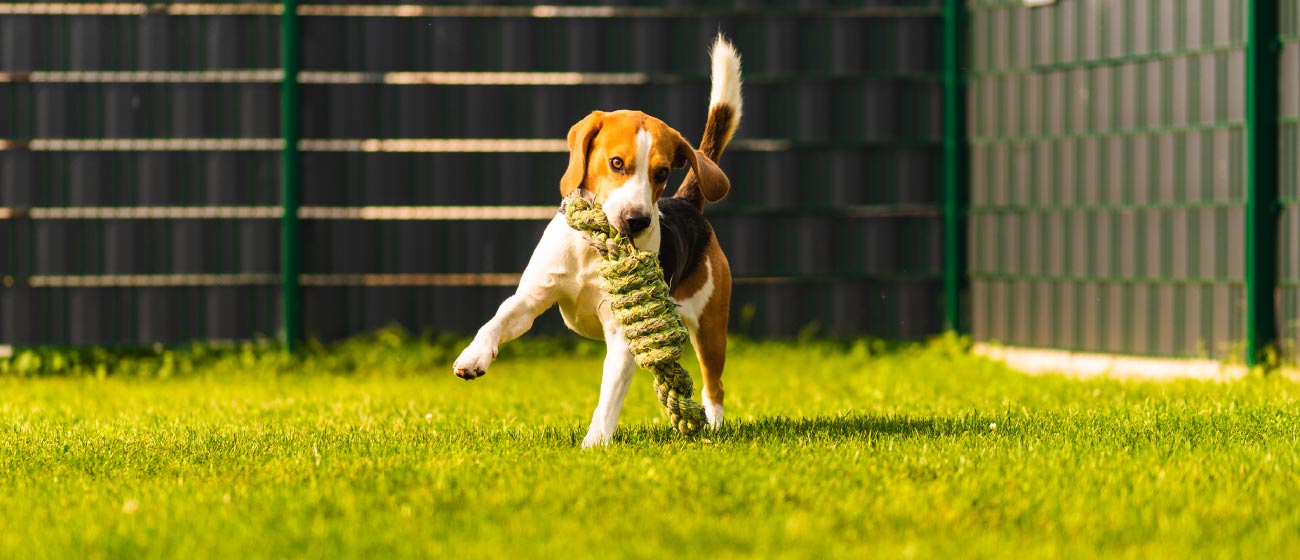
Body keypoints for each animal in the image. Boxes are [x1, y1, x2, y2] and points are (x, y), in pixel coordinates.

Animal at [454, 35, 743, 449]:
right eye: (617, 163)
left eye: (661, 173)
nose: (637, 220)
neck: (594, 249)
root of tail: (688, 203)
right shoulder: (531, 298)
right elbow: (497, 319)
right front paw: (473, 356)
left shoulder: (623, 333)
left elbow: (609, 396)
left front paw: (595, 443)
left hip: (710, 325)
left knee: (713, 385)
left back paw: (714, 429)